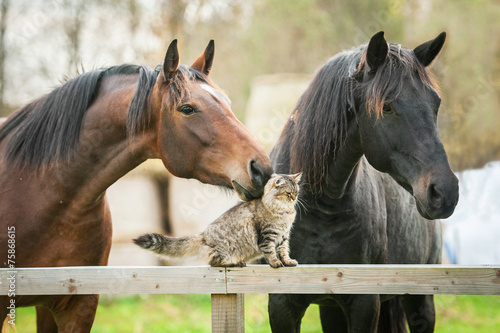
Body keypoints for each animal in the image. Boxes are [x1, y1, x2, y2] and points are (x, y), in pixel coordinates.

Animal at [134, 172, 300, 266]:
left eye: (296, 192)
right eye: (288, 193)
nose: (295, 198)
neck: (285, 212)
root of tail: (203, 236)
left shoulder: (284, 236)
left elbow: (284, 251)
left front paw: (288, 262)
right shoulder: (267, 236)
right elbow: (271, 252)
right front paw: (276, 263)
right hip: (222, 250)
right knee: (214, 263)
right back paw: (233, 264)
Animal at [268, 31, 458, 332]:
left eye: (435, 104)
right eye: (387, 107)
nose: (445, 192)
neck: (321, 207)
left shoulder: (364, 302)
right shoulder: (282, 304)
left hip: (421, 302)